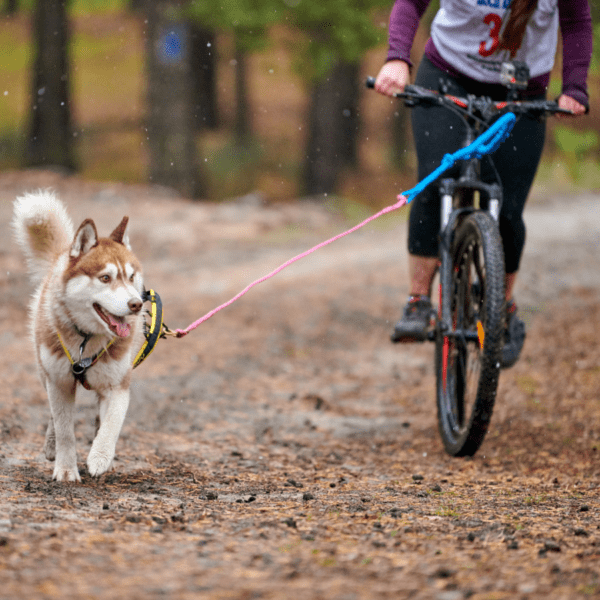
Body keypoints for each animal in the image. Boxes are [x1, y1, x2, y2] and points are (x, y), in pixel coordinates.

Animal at [12, 192, 144, 482]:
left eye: (131, 277)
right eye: (105, 278)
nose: (136, 304)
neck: (87, 340)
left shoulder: (119, 385)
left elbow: (111, 425)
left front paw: (100, 457)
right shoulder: (59, 382)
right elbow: (65, 431)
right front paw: (65, 469)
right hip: (44, 371)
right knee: (53, 417)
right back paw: (51, 446)